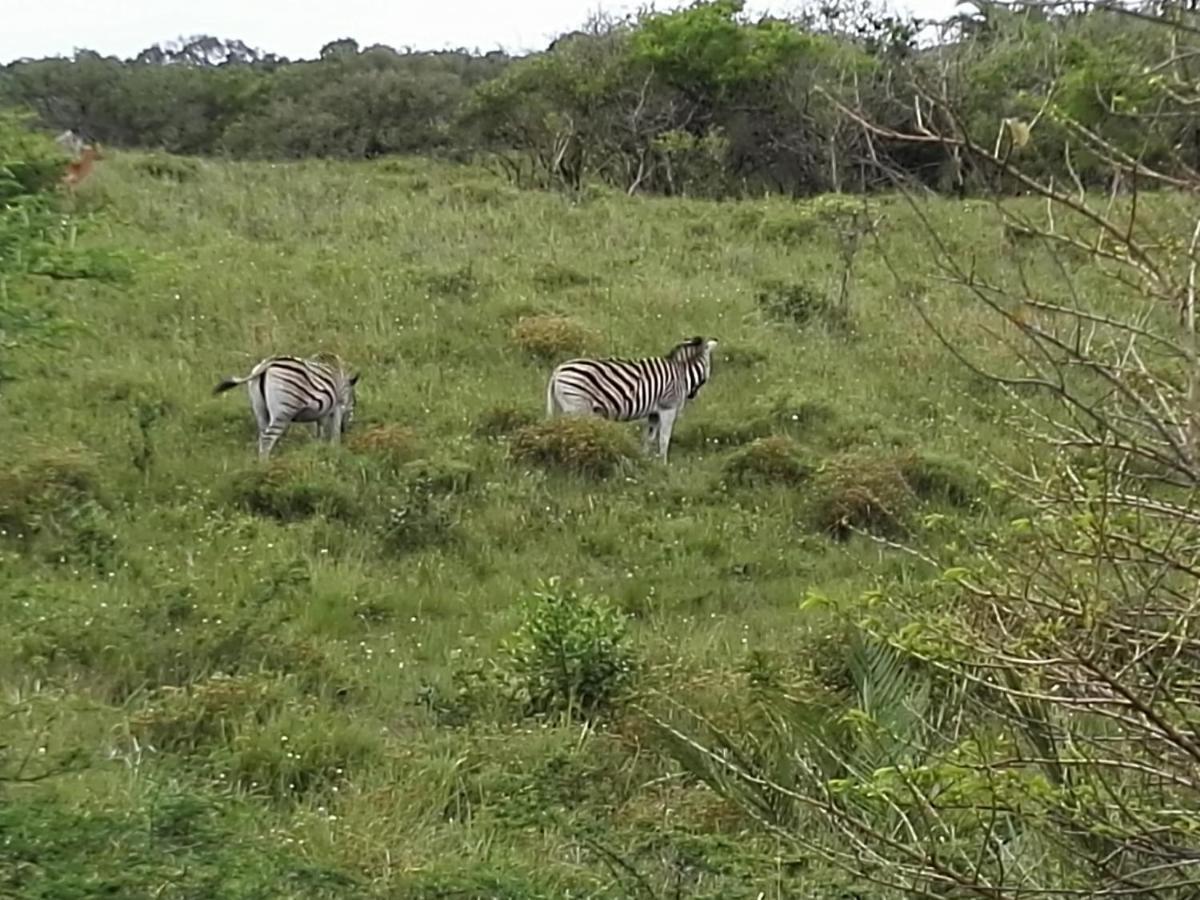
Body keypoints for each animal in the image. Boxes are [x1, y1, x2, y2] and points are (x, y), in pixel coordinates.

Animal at [214, 355, 360, 460]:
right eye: (354, 405)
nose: (345, 430)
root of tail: (267, 363)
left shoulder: (321, 411)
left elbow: (319, 430)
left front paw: (318, 449)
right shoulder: (338, 404)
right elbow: (334, 431)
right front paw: (335, 451)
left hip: (260, 410)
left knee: (262, 436)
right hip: (283, 411)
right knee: (267, 439)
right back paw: (264, 467)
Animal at [547, 338, 720, 465]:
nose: (693, 395)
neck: (681, 373)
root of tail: (557, 371)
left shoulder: (654, 412)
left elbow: (649, 438)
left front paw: (644, 460)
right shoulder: (668, 407)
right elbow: (664, 439)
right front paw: (664, 464)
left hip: (565, 407)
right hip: (577, 408)